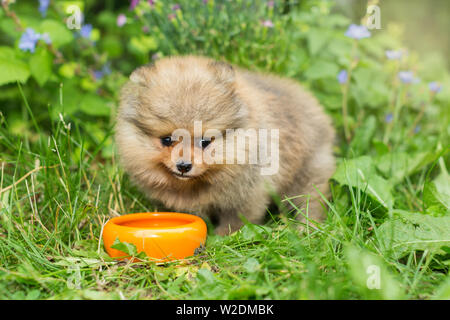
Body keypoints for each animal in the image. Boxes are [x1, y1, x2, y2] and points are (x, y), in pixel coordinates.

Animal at [116, 55, 334, 235]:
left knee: (310, 201)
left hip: (309, 170)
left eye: (205, 142)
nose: (183, 166)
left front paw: (223, 238)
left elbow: (236, 220)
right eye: (166, 140)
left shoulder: (248, 195)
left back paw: (306, 228)